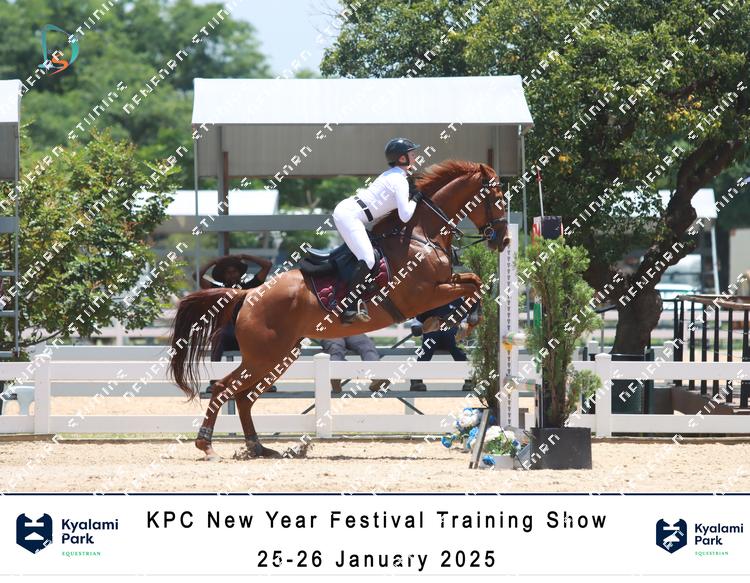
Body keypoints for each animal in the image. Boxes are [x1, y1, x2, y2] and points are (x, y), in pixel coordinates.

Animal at [168, 160, 510, 461]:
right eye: (497, 198)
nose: (504, 240)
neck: (421, 236)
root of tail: (249, 293)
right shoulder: (423, 294)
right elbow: (471, 286)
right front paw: (459, 323)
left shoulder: (442, 284)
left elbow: (473, 281)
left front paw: (462, 321)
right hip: (263, 356)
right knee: (225, 388)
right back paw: (208, 446)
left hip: (278, 357)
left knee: (243, 397)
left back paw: (257, 447)